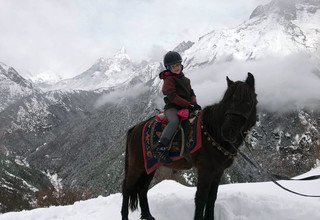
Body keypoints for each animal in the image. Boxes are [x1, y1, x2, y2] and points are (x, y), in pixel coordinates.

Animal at [120, 72, 258, 220]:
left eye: (248, 101)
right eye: (226, 101)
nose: (228, 131)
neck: (211, 131)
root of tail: (135, 128)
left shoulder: (218, 172)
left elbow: (212, 198)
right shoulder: (205, 170)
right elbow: (201, 198)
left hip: (150, 167)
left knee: (142, 189)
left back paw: (148, 216)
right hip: (136, 166)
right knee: (127, 188)